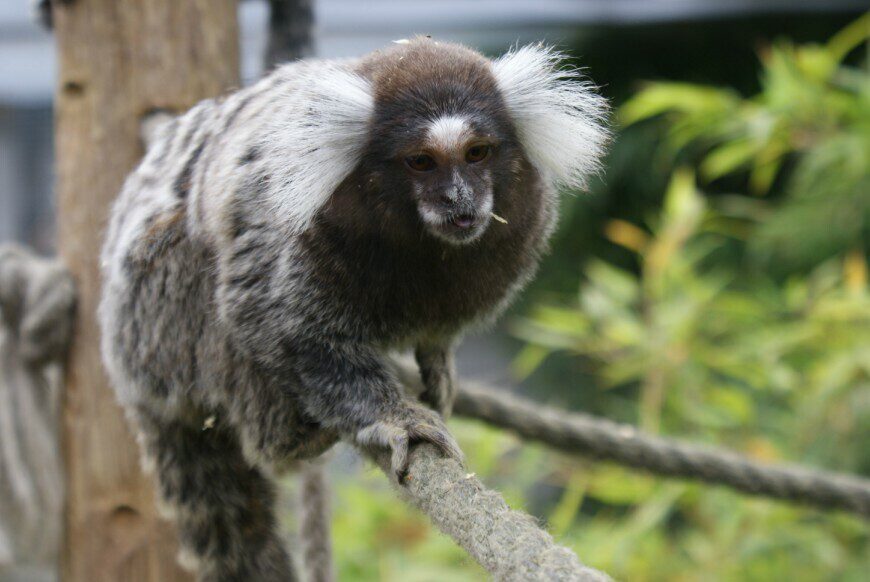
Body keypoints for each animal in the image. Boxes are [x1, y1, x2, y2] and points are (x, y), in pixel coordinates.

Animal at [99, 38, 608, 580]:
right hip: (154, 318)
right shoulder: (287, 223)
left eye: (477, 153)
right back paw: (287, 441)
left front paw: (438, 365)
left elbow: (437, 334)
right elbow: (272, 320)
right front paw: (395, 419)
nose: (460, 201)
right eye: (421, 161)